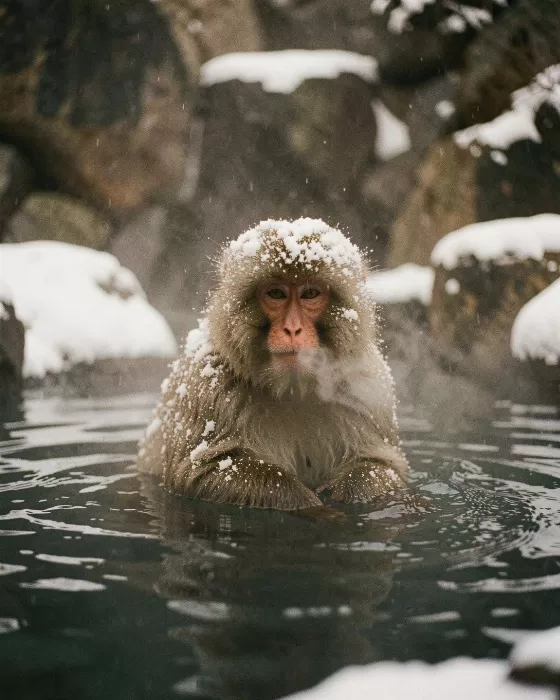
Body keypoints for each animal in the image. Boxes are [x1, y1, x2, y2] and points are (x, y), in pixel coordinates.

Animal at [138, 218, 408, 510]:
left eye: (310, 293)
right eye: (276, 294)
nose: (292, 329)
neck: (294, 389)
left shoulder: (367, 390)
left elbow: (382, 466)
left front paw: (345, 495)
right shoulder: (208, 385)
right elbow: (202, 471)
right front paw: (309, 504)